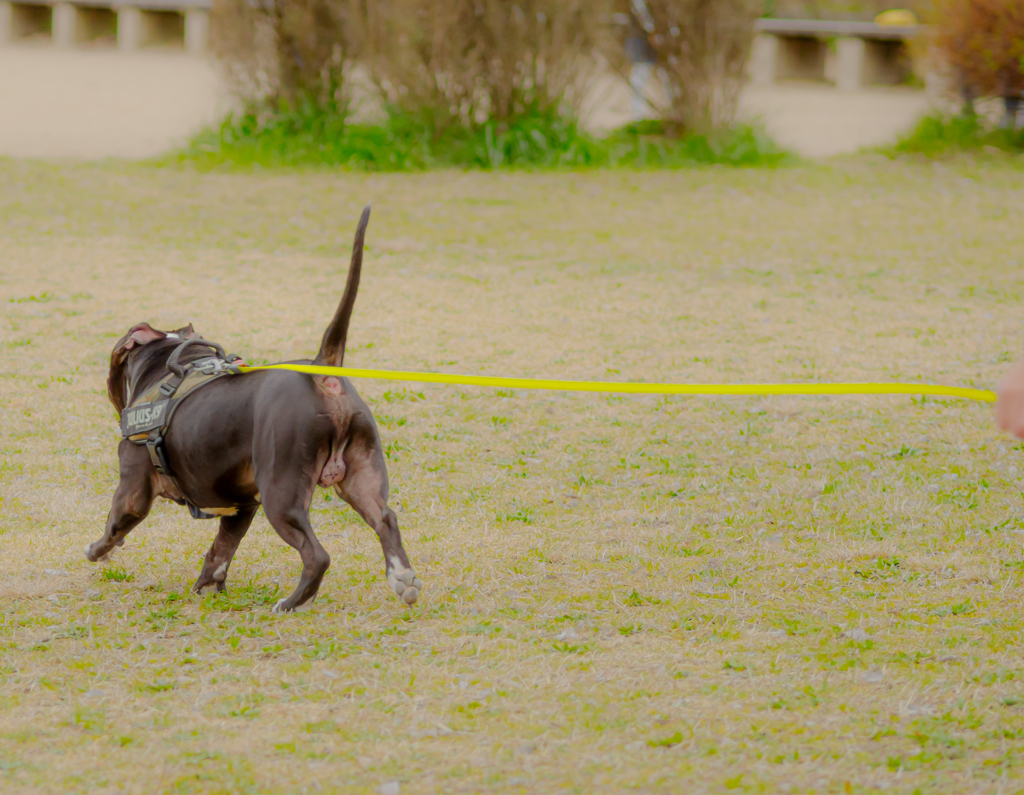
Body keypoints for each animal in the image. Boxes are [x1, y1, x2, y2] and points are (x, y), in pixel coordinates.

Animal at [88, 207, 421, 610]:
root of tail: (321, 373)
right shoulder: (241, 505)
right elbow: (221, 550)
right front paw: (207, 588)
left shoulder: (133, 491)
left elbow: (114, 525)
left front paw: (98, 551)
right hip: (361, 476)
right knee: (386, 519)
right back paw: (402, 579)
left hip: (282, 493)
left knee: (317, 555)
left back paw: (292, 603)